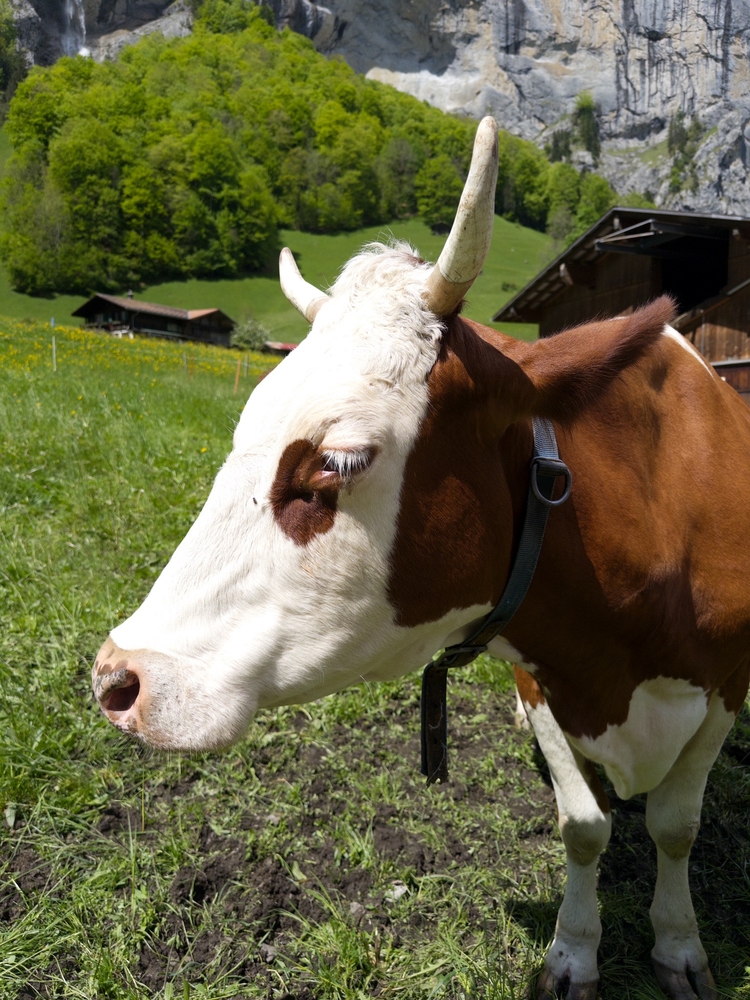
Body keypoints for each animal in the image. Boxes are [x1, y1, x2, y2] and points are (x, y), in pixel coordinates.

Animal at [92, 117, 750, 1000]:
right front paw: (575, 950)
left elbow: (677, 826)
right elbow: (584, 826)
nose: (117, 678)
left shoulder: (725, 683)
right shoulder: (538, 668)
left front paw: (678, 946)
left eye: (337, 462)